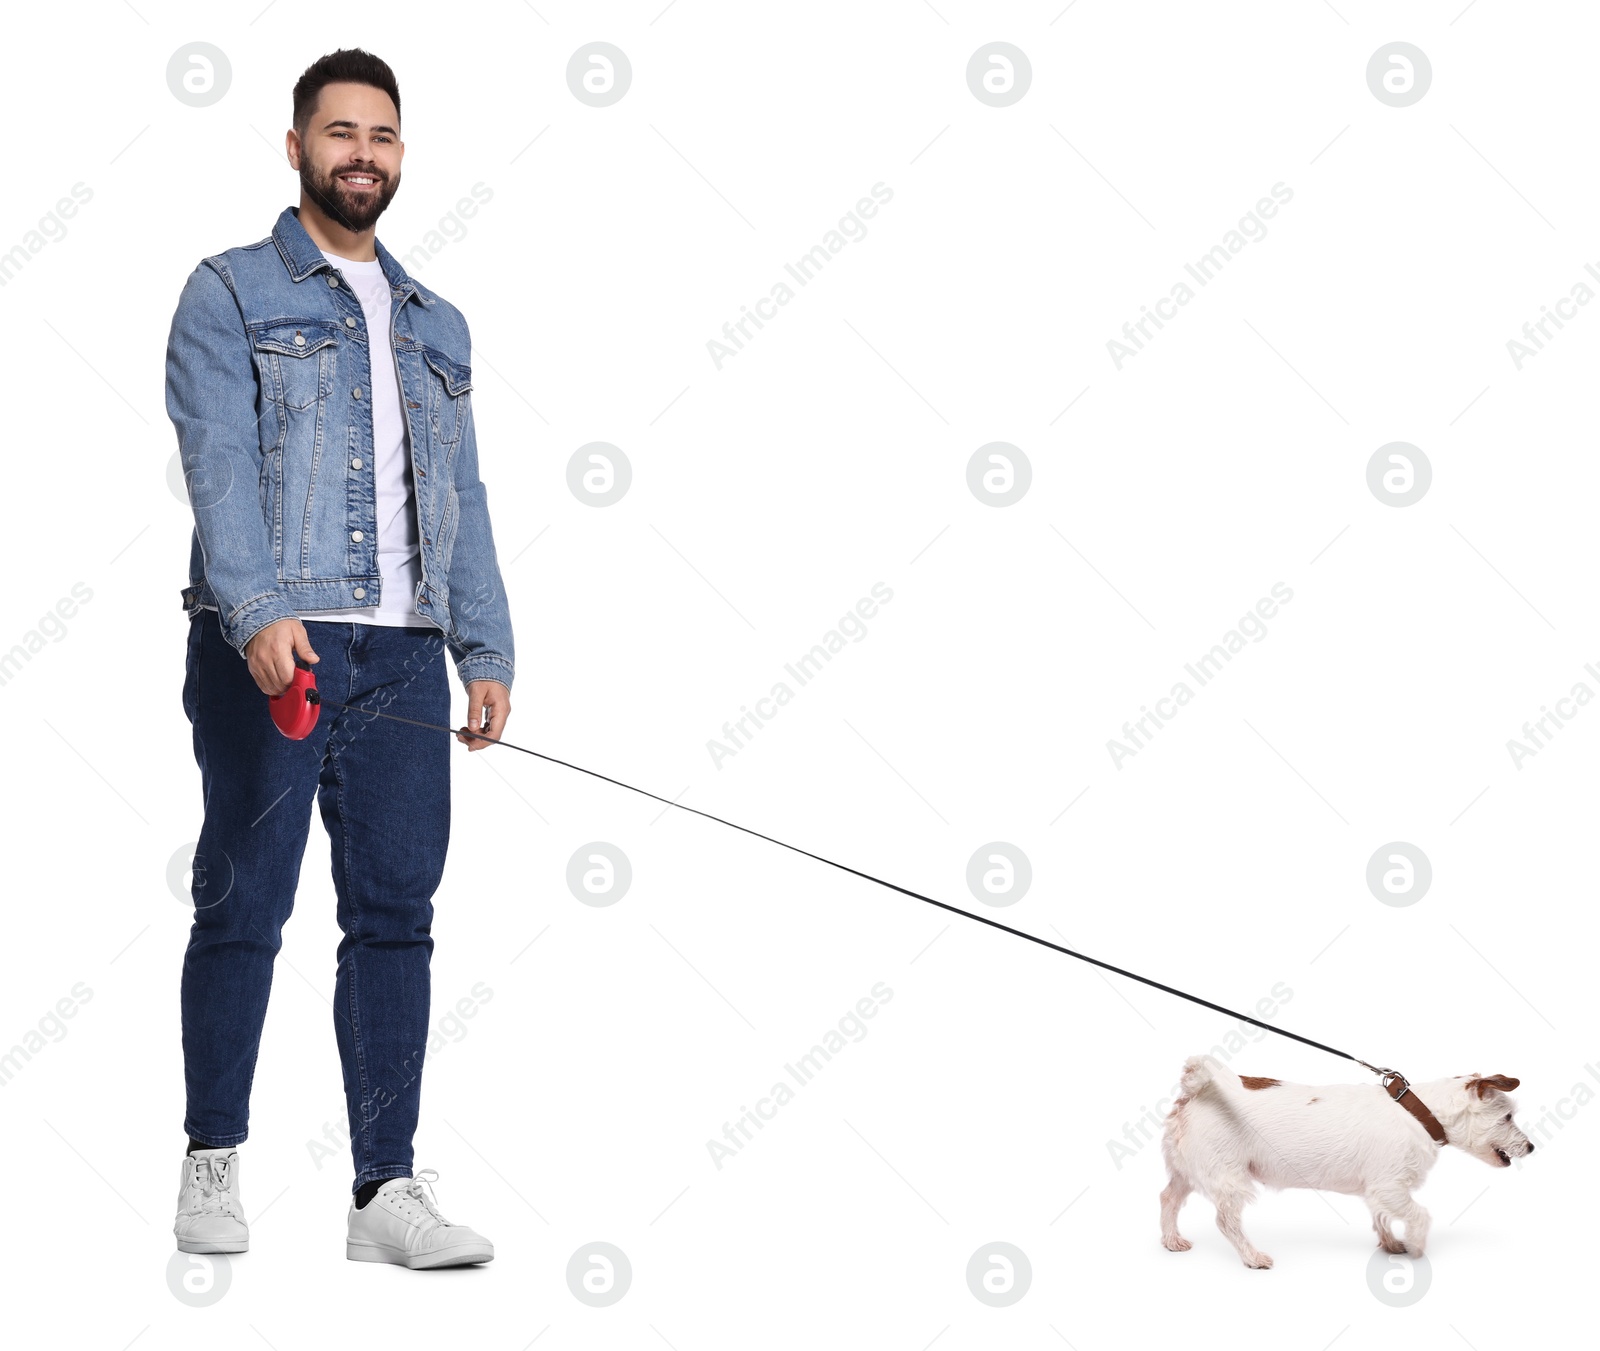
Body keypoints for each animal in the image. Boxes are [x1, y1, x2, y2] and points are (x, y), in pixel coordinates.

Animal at [1158, 1056, 1529, 1267]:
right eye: (1508, 1117)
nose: (1532, 1146)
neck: (1419, 1112)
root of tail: (1198, 1091)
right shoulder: (1391, 1187)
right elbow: (1419, 1216)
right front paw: (1417, 1247)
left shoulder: (1380, 1191)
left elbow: (1381, 1217)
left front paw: (1391, 1244)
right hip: (1228, 1178)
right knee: (1226, 1222)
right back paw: (1252, 1257)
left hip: (1185, 1172)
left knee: (1168, 1199)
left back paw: (1171, 1241)